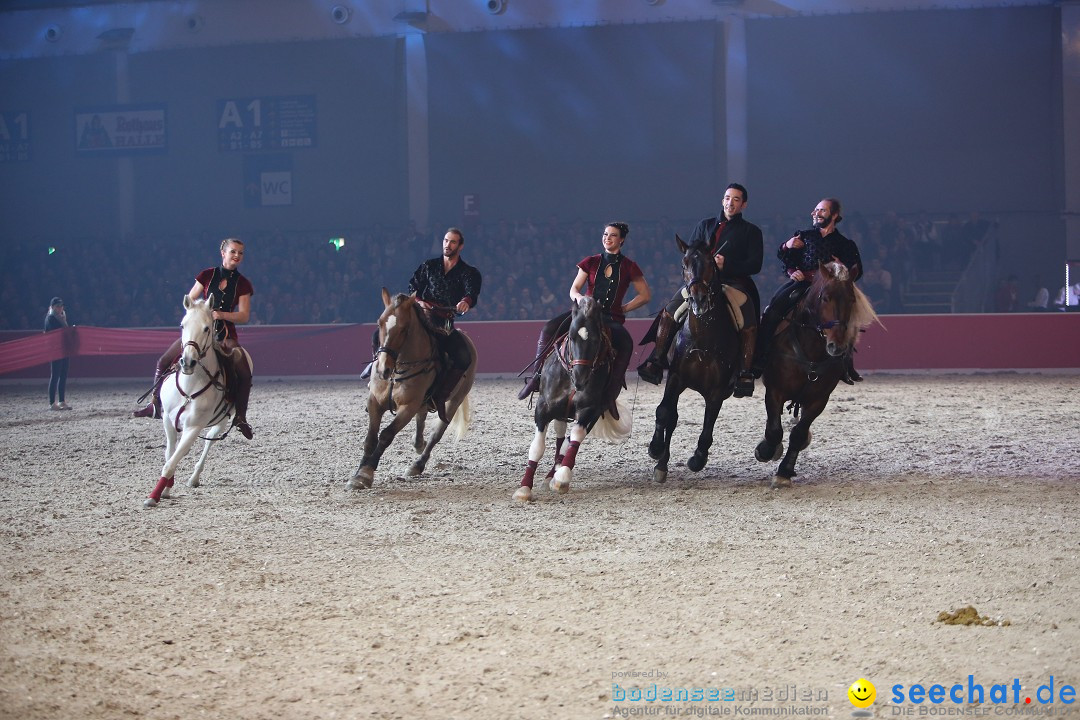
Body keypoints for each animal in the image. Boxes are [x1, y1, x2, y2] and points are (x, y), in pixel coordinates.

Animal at [143, 295, 252, 509]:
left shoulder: (193, 427)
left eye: (207, 328)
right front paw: (167, 487)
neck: (189, 387)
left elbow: (171, 462)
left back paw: (194, 477)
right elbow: (170, 455)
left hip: (223, 419)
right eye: (182, 325)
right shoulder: (168, 421)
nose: (187, 362)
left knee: (210, 440)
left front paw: (154, 496)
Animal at [349, 289, 477, 490]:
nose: (383, 369)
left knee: (435, 435)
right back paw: (418, 443)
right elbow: (370, 440)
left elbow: (386, 435)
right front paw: (359, 474)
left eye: (403, 328)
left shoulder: (408, 407)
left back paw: (417, 464)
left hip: (453, 401)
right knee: (422, 418)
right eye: (380, 323)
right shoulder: (374, 402)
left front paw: (366, 472)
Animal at [643, 236, 738, 483]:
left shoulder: (717, 390)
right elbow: (665, 413)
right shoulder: (676, 378)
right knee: (672, 417)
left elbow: (708, 426)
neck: (703, 336)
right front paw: (656, 451)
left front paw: (698, 458)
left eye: (710, 262)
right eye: (683, 264)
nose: (698, 299)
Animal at [751, 259, 876, 490]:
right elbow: (774, 430)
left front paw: (784, 472)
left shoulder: (819, 399)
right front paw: (766, 450)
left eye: (852, 299)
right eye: (825, 297)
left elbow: (799, 434)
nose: (837, 346)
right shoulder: (775, 391)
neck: (811, 350)